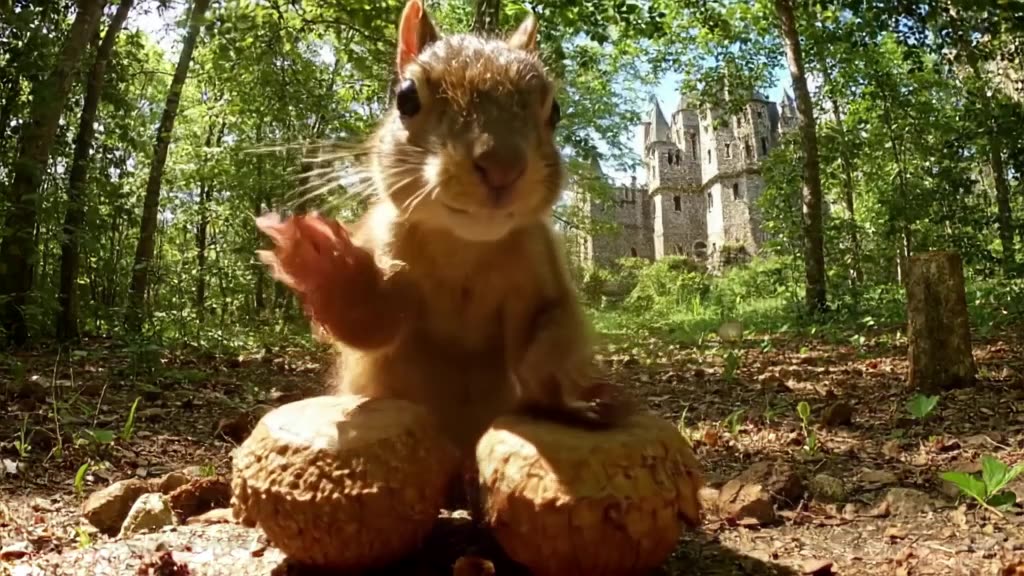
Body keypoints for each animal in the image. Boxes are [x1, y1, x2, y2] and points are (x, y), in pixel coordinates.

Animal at [255, 0, 633, 456]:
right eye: (406, 98)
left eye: (555, 110)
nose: (503, 166)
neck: (464, 246)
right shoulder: (388, 246)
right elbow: (372, 323)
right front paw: (328, 267)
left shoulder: (542, 266)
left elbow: (555, 330)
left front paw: (566, 395)